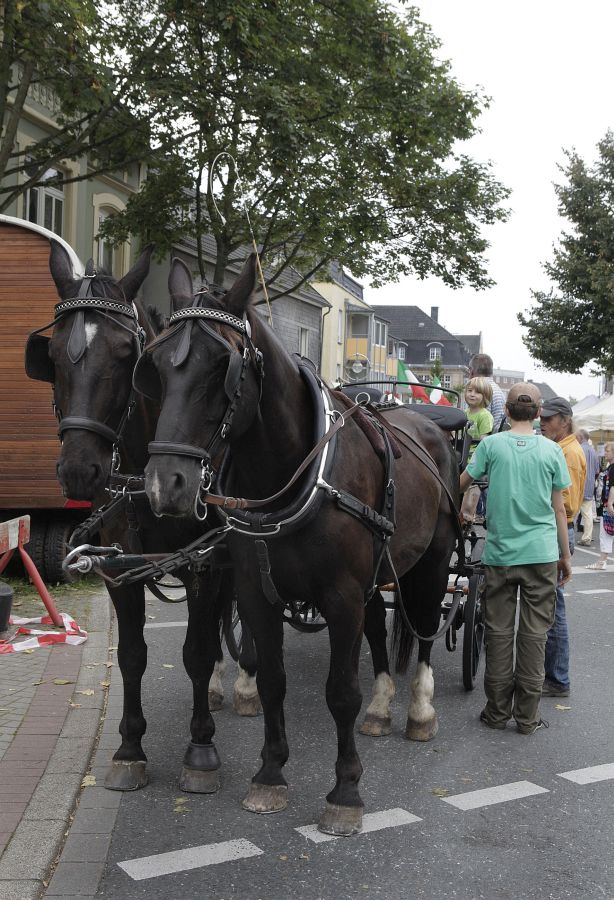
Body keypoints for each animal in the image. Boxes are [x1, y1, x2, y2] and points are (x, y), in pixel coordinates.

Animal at [25, 241, 258, 795]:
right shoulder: (117, 570)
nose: (79, 469)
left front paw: (200, 748)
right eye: (52, 356)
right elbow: (132, 655)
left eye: (125, 356)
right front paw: (129, 749)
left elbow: (196, 650)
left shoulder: (204, 565)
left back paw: (244, 686)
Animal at [134, 252, 461, 835]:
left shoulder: (341, 595)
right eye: (158, 366)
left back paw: (419, 710)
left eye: (223, 366)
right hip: (379, 573)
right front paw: (269, 775)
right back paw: (383, 707)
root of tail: (427, 425)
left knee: (423, 624)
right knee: (381, 628)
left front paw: (346, 790)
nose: (164, 484)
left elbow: (341, 693)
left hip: (433, 560)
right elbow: (272, 680)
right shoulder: (256, 593)